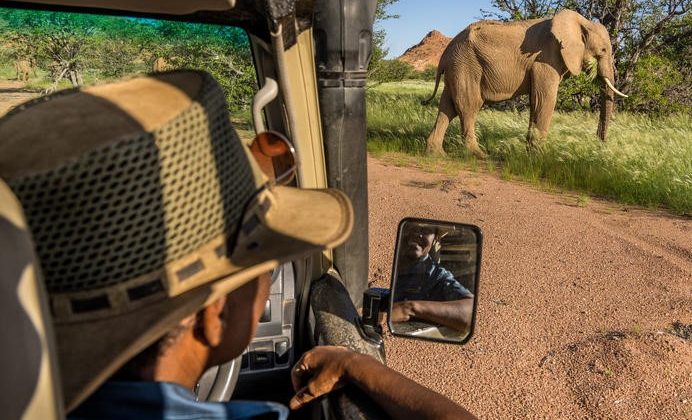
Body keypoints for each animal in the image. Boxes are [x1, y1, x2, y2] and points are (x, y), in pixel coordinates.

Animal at [424, 9, 628, 158]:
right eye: (603, 50)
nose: (600, 143)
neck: (582, 22)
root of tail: (445, 53)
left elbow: (536, 101)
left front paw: (530, 155)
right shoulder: (545, 59)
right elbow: (544, 99)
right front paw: (540, 158)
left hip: (457, 67)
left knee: (448, 107)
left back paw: (436, 154)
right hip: (466, 65)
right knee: (469, 106)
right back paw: (479, 155)